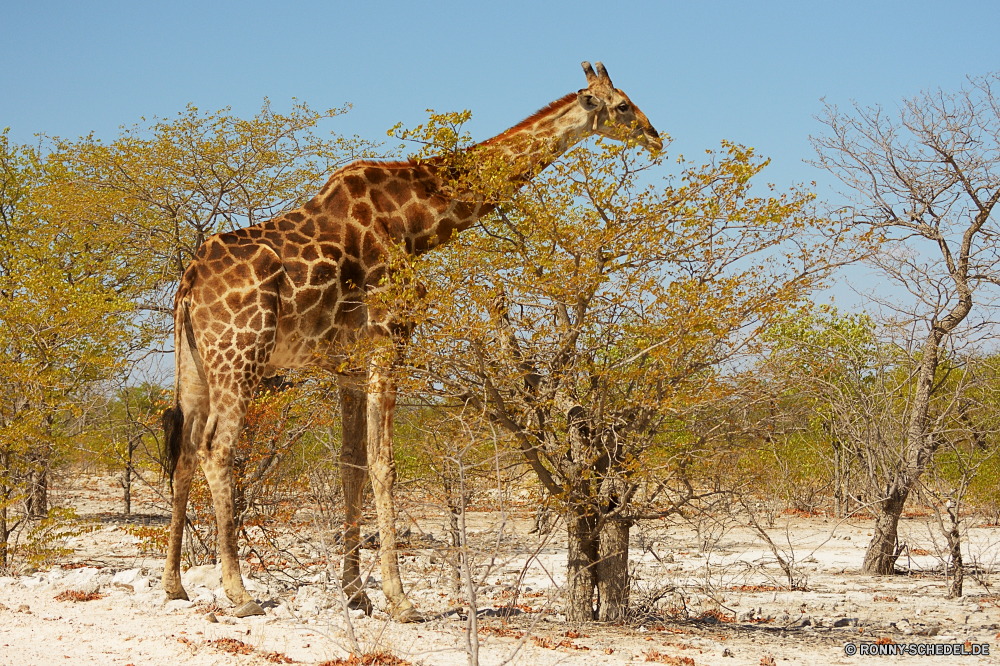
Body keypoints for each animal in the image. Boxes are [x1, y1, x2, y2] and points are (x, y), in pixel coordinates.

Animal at [160, 61, 660, 616]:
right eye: (622, 105)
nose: (655, 136)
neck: (415, 221)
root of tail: (189, 281)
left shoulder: (349, 366)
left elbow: (352, 467)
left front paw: (357, 594)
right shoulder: (390, 338)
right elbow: (385, 465)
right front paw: (400, 600)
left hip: (195, 366)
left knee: (184, 451)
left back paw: (174, 585)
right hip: (240, 356)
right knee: (217, 449)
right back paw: (239, 591)